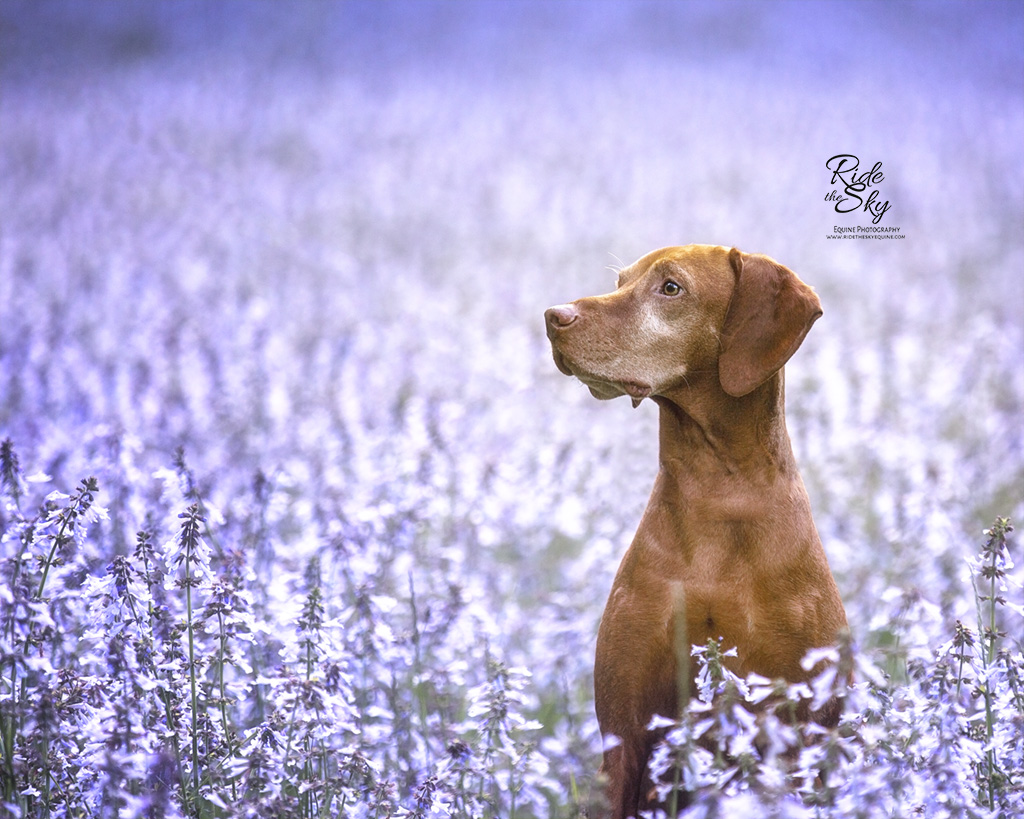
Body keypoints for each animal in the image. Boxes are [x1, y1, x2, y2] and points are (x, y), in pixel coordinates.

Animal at [544, 244, 847, 818]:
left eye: (671, 287)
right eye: (620, 281)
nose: (552, 317)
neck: (717, 493)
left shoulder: (793, 734)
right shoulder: (624, 734)